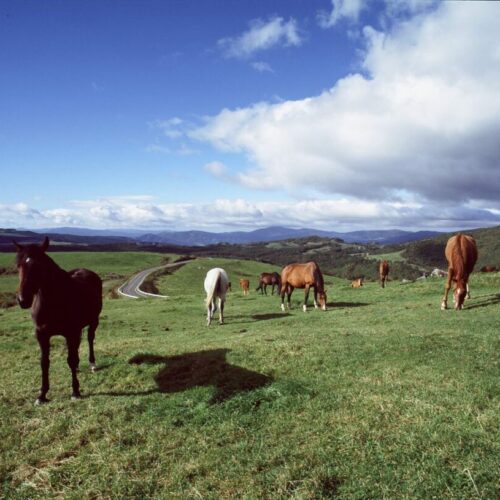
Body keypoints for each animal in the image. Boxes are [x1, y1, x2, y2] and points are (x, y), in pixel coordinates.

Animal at [13, 236, 102, 404]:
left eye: (38, 265)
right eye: (18, 265)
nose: (23, 300)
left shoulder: (71, 333)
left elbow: (71, 359)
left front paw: (75, 391)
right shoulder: (41, 335)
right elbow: (44, 362)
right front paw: (42, 395)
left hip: (93, 321)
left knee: (90, 338)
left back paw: (92, 364)